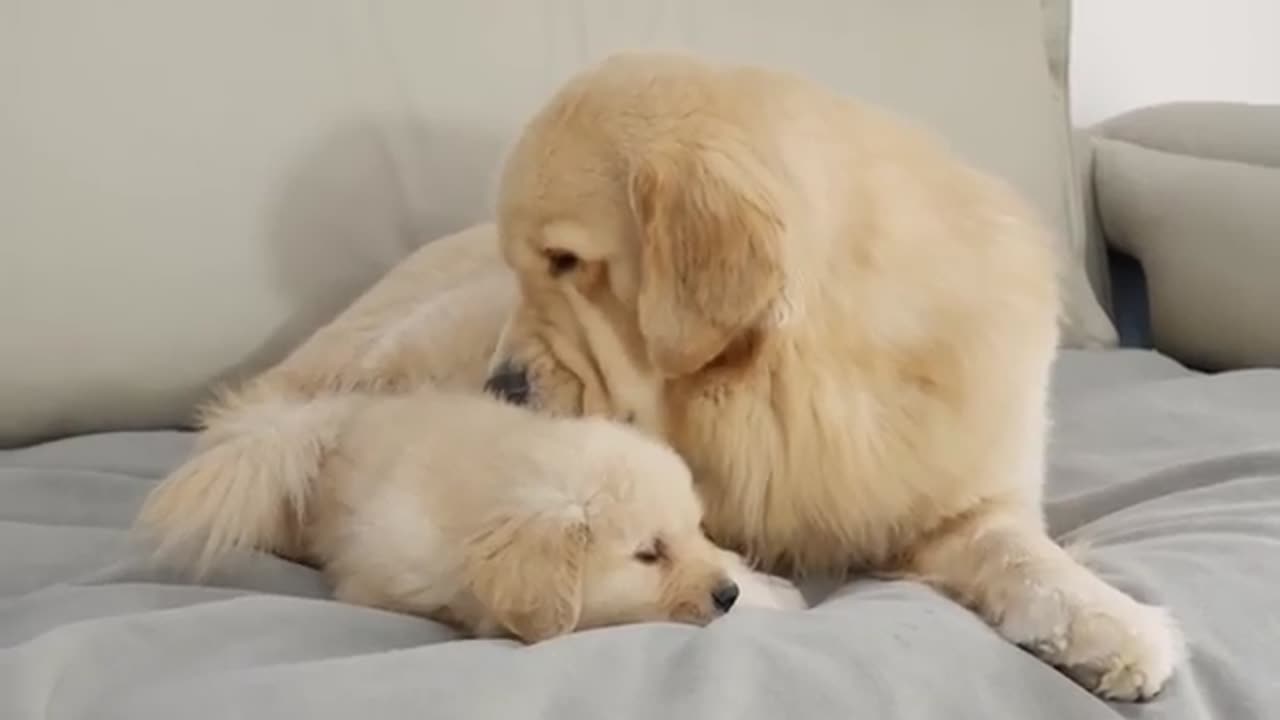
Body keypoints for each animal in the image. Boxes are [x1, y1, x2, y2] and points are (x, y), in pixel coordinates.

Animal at [483, 50, 1182, 696]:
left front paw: (1114, 625)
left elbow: (1026, 554)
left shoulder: (965, 501)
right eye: (521, 265)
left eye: (565, 260)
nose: (498, 387)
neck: (784, 380)